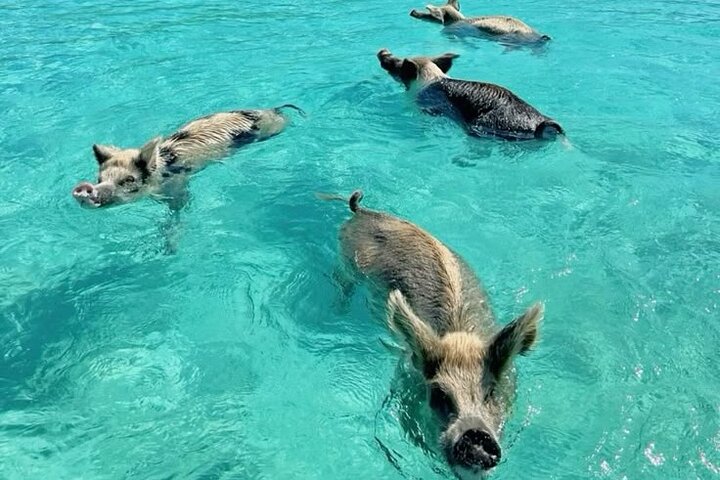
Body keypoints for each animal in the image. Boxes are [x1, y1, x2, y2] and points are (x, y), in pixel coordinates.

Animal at [72, 105, 302, 208]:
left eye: (129, 180)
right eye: (100, 179)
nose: (85, 187)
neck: (163, 169)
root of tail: (274, 109)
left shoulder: (179, 185)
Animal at [330, 190, 544, 477]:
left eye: (491, 392)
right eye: (439, 394)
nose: (476, 434)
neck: (459, 338)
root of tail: (365, 211)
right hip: (345, 260)